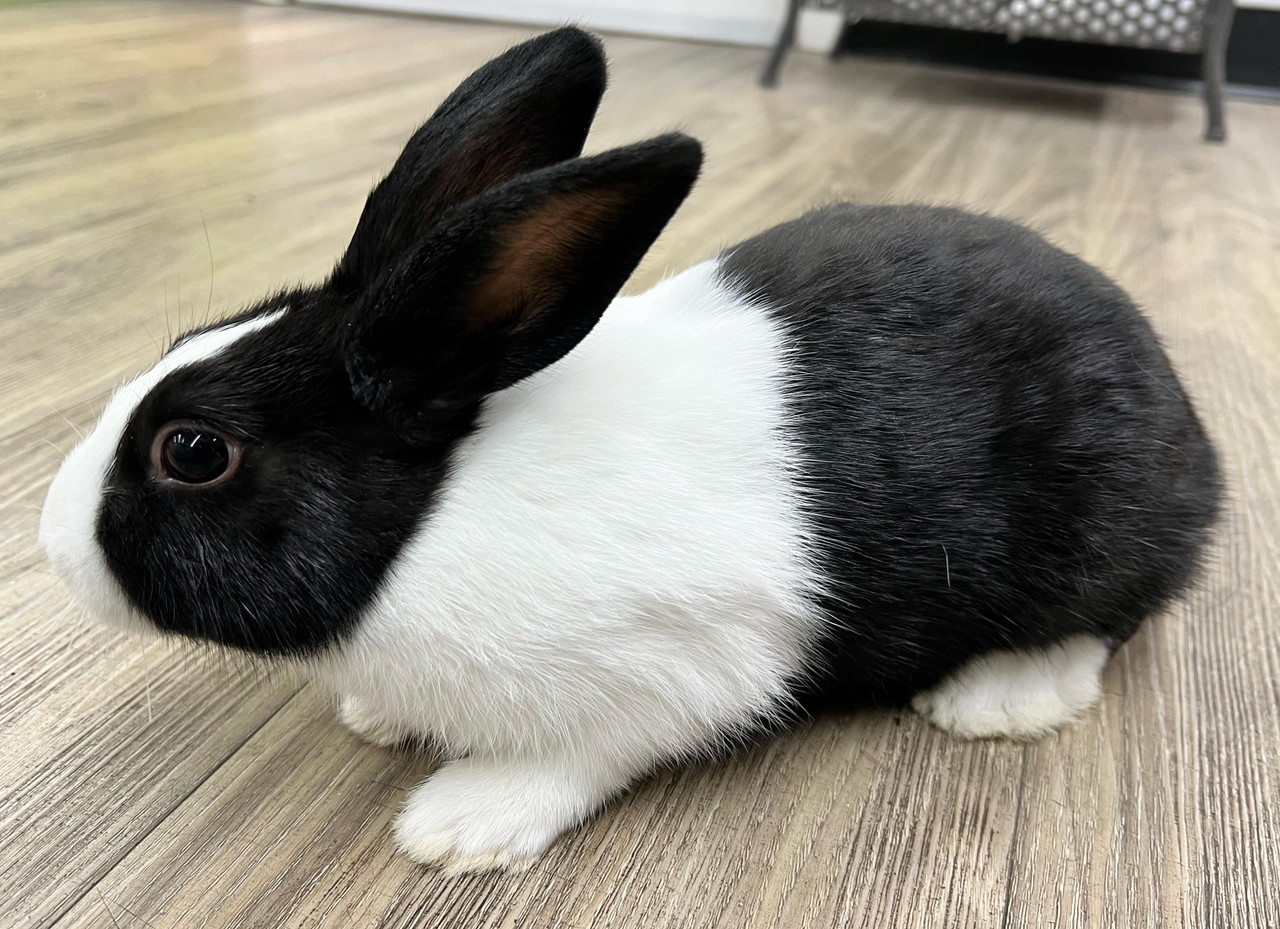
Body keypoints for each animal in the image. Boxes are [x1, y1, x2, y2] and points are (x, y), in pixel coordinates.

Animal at [39, 27, 1220, 873]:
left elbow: (583, 752)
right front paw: (380, 717)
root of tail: (1189, 425)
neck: (431, 517)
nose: (49, 541)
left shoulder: (690, 662)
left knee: (1110, 618)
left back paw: (995, 699)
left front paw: (460, 824)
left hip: (1098, 532)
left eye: (194, 450)